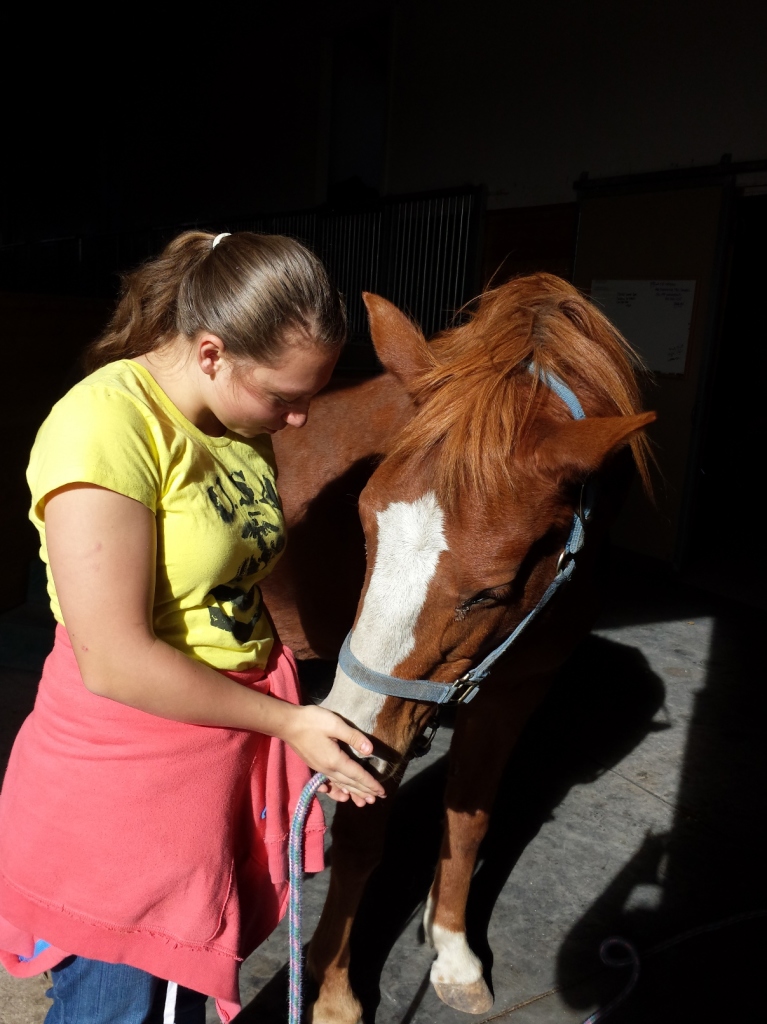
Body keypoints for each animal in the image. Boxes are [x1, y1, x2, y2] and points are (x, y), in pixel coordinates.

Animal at [262, 273, 654, 1024]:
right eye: (363, 528)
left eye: (491, 592)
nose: (347, 724)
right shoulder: (379, 731)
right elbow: (361, 843)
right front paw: (333, 994)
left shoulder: (506, 697)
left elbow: (469, 821)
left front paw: (451, 952)